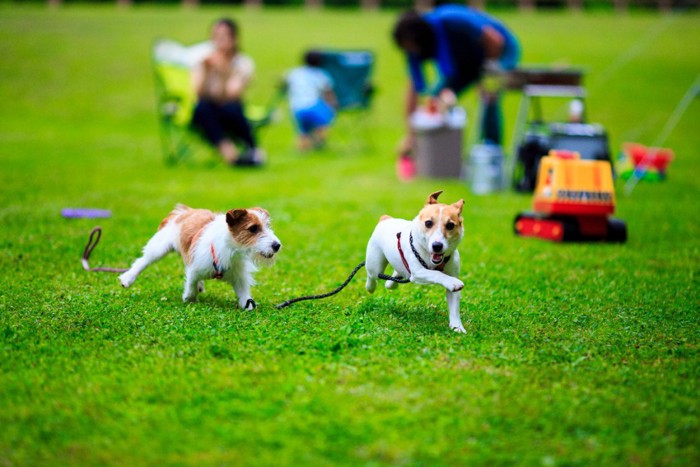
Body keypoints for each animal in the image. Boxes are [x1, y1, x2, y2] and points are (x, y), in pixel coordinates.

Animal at [119, 206, 280, 310]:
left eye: (268, 226)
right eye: (253, 228)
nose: (277, 245)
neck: (231, 249)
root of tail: (185, 211)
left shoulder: (239, 277)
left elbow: (245, 297)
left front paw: (248, 306)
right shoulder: (195, 266)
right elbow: (191, 282)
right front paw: (189, 297)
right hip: (158, 248)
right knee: (142, 261)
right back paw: (128, 278)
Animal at [364, 192, 468, 334]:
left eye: (450, 225)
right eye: (428, 223)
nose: (437, 246)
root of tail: (386, 219)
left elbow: (454, 306)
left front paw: (457, 327)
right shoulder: (419, 273)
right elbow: (437, 274)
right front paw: (453, 282)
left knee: (396, 275)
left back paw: (391, 281)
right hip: (375, 264)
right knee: (372, 276)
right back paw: (370, 287)